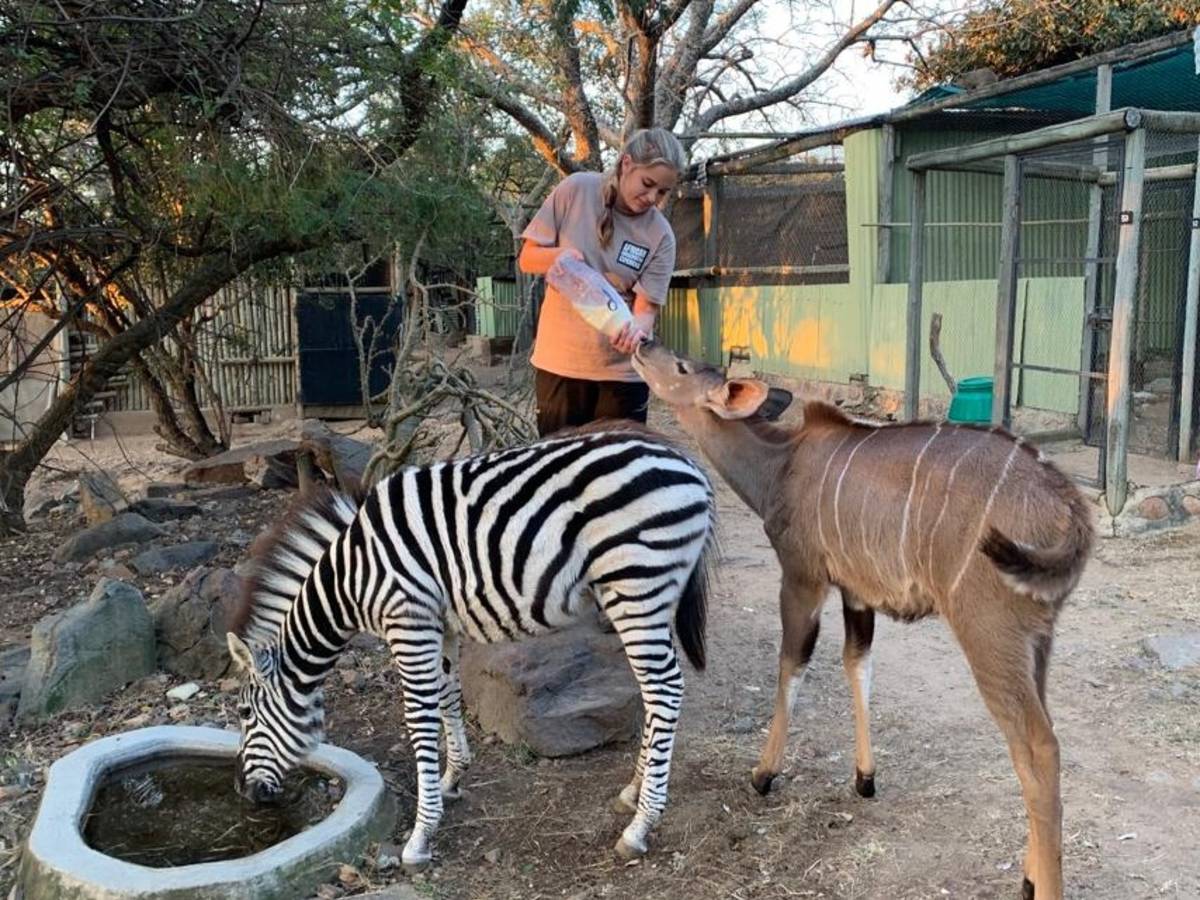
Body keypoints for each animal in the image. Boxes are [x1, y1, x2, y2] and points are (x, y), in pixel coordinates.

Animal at [225, 423, 716, 869]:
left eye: (246, 713)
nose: (242, 792)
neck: (351, 577)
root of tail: (691, 466)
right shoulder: (441, 626)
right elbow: (449, 697)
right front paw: (452, 779)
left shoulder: (408, 621)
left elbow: (420, 719)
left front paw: (420, 837)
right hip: (648, 595)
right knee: (655, 692)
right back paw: (632, 792)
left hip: (636, 586)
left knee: (665, 690)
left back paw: (640, 827)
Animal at [631, 341, 1093, 900]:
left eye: (680, 366)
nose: (642, 344)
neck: (780, 465)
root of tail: (1068, 507)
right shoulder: (856, 593)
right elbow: (858, 664)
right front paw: (864, 778)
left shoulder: (802, 577)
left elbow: (792, 664)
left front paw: (764, 774)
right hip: (1037, 640)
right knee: (1041, 741)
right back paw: (1029, 876)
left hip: (988, 632)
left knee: (1037, 746)